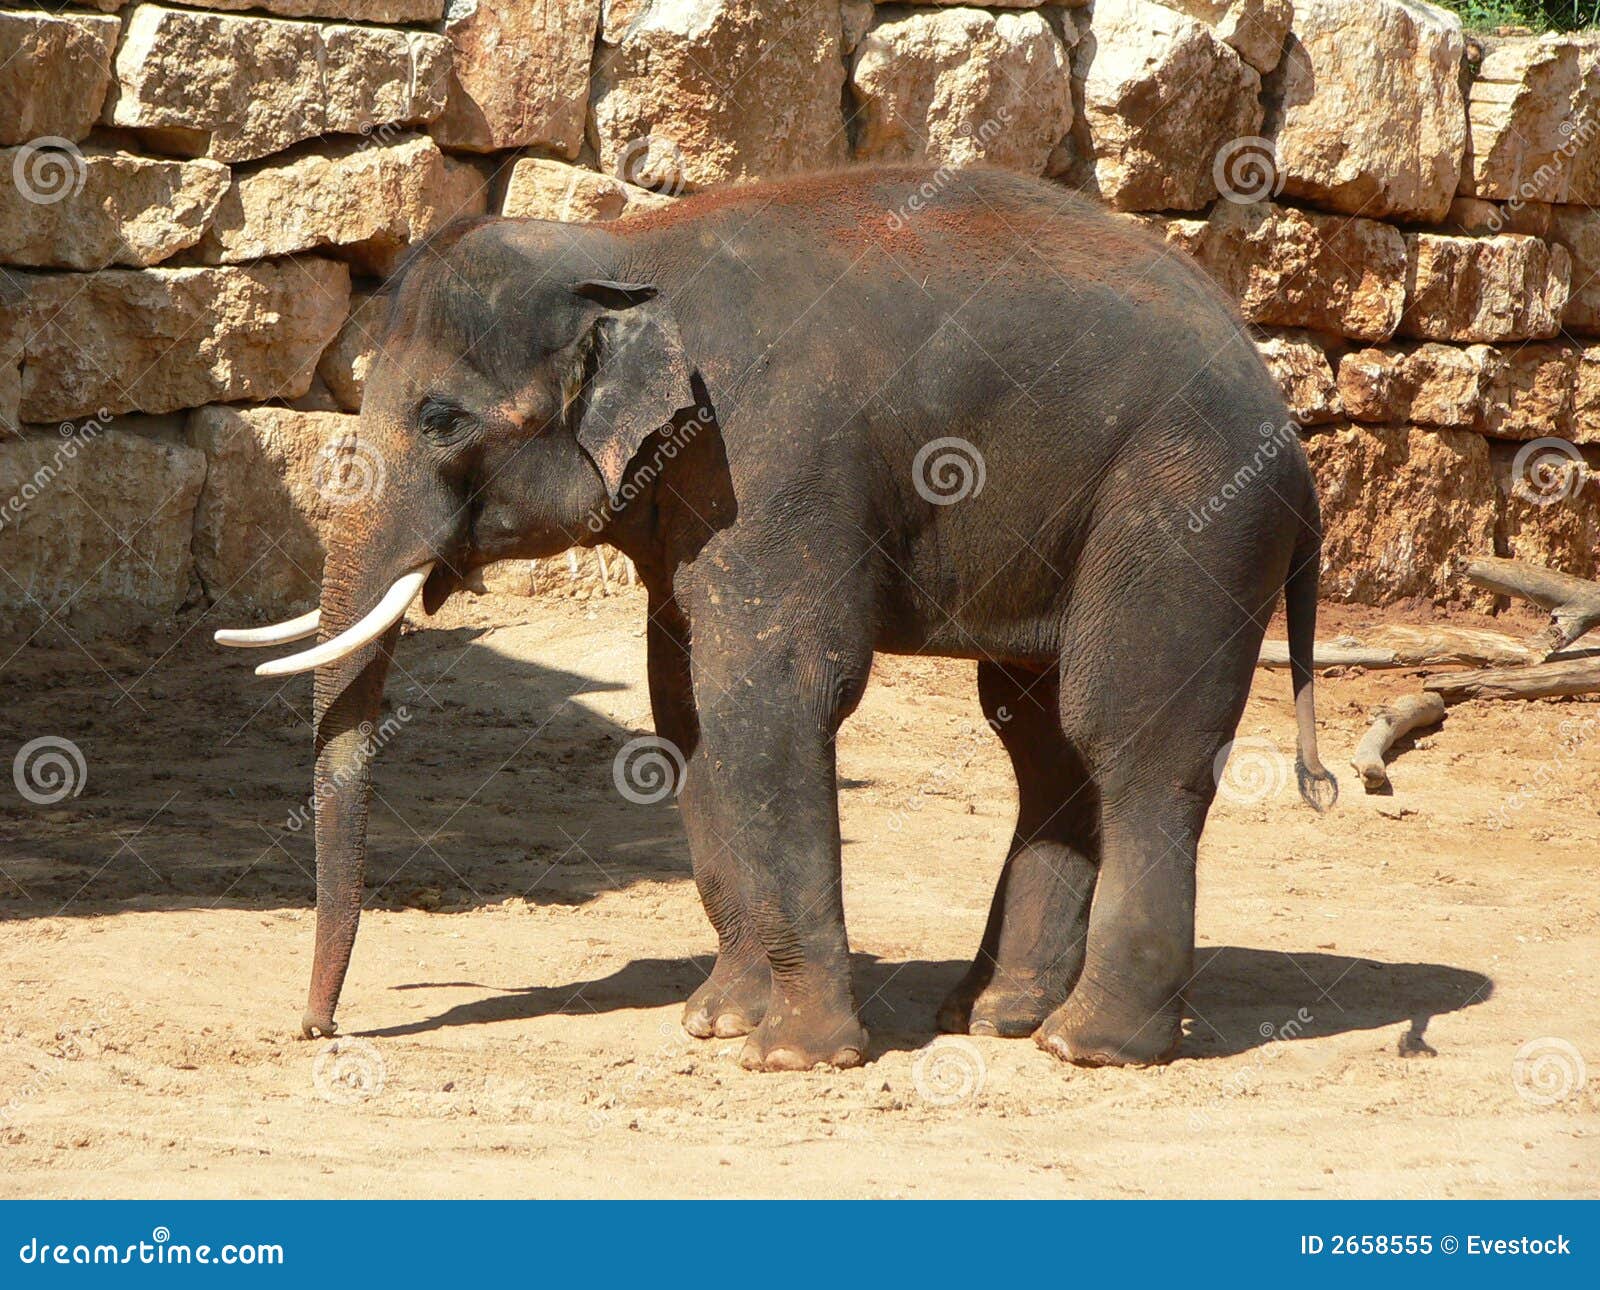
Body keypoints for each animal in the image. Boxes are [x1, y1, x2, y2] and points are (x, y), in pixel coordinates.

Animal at [217, 165, 1336, 1071]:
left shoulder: (770, 459)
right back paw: (993, 1017)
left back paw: (1086, 1045)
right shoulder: (691, 492)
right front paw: (714, 1024)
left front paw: (789, 1056)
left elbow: (770, 691)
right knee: (1041, 740)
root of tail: (1289, 429)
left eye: (441, 419)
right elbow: (686, 711)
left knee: (1130, 737)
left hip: (1188, 510)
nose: (318, 1028)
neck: (625, 249)